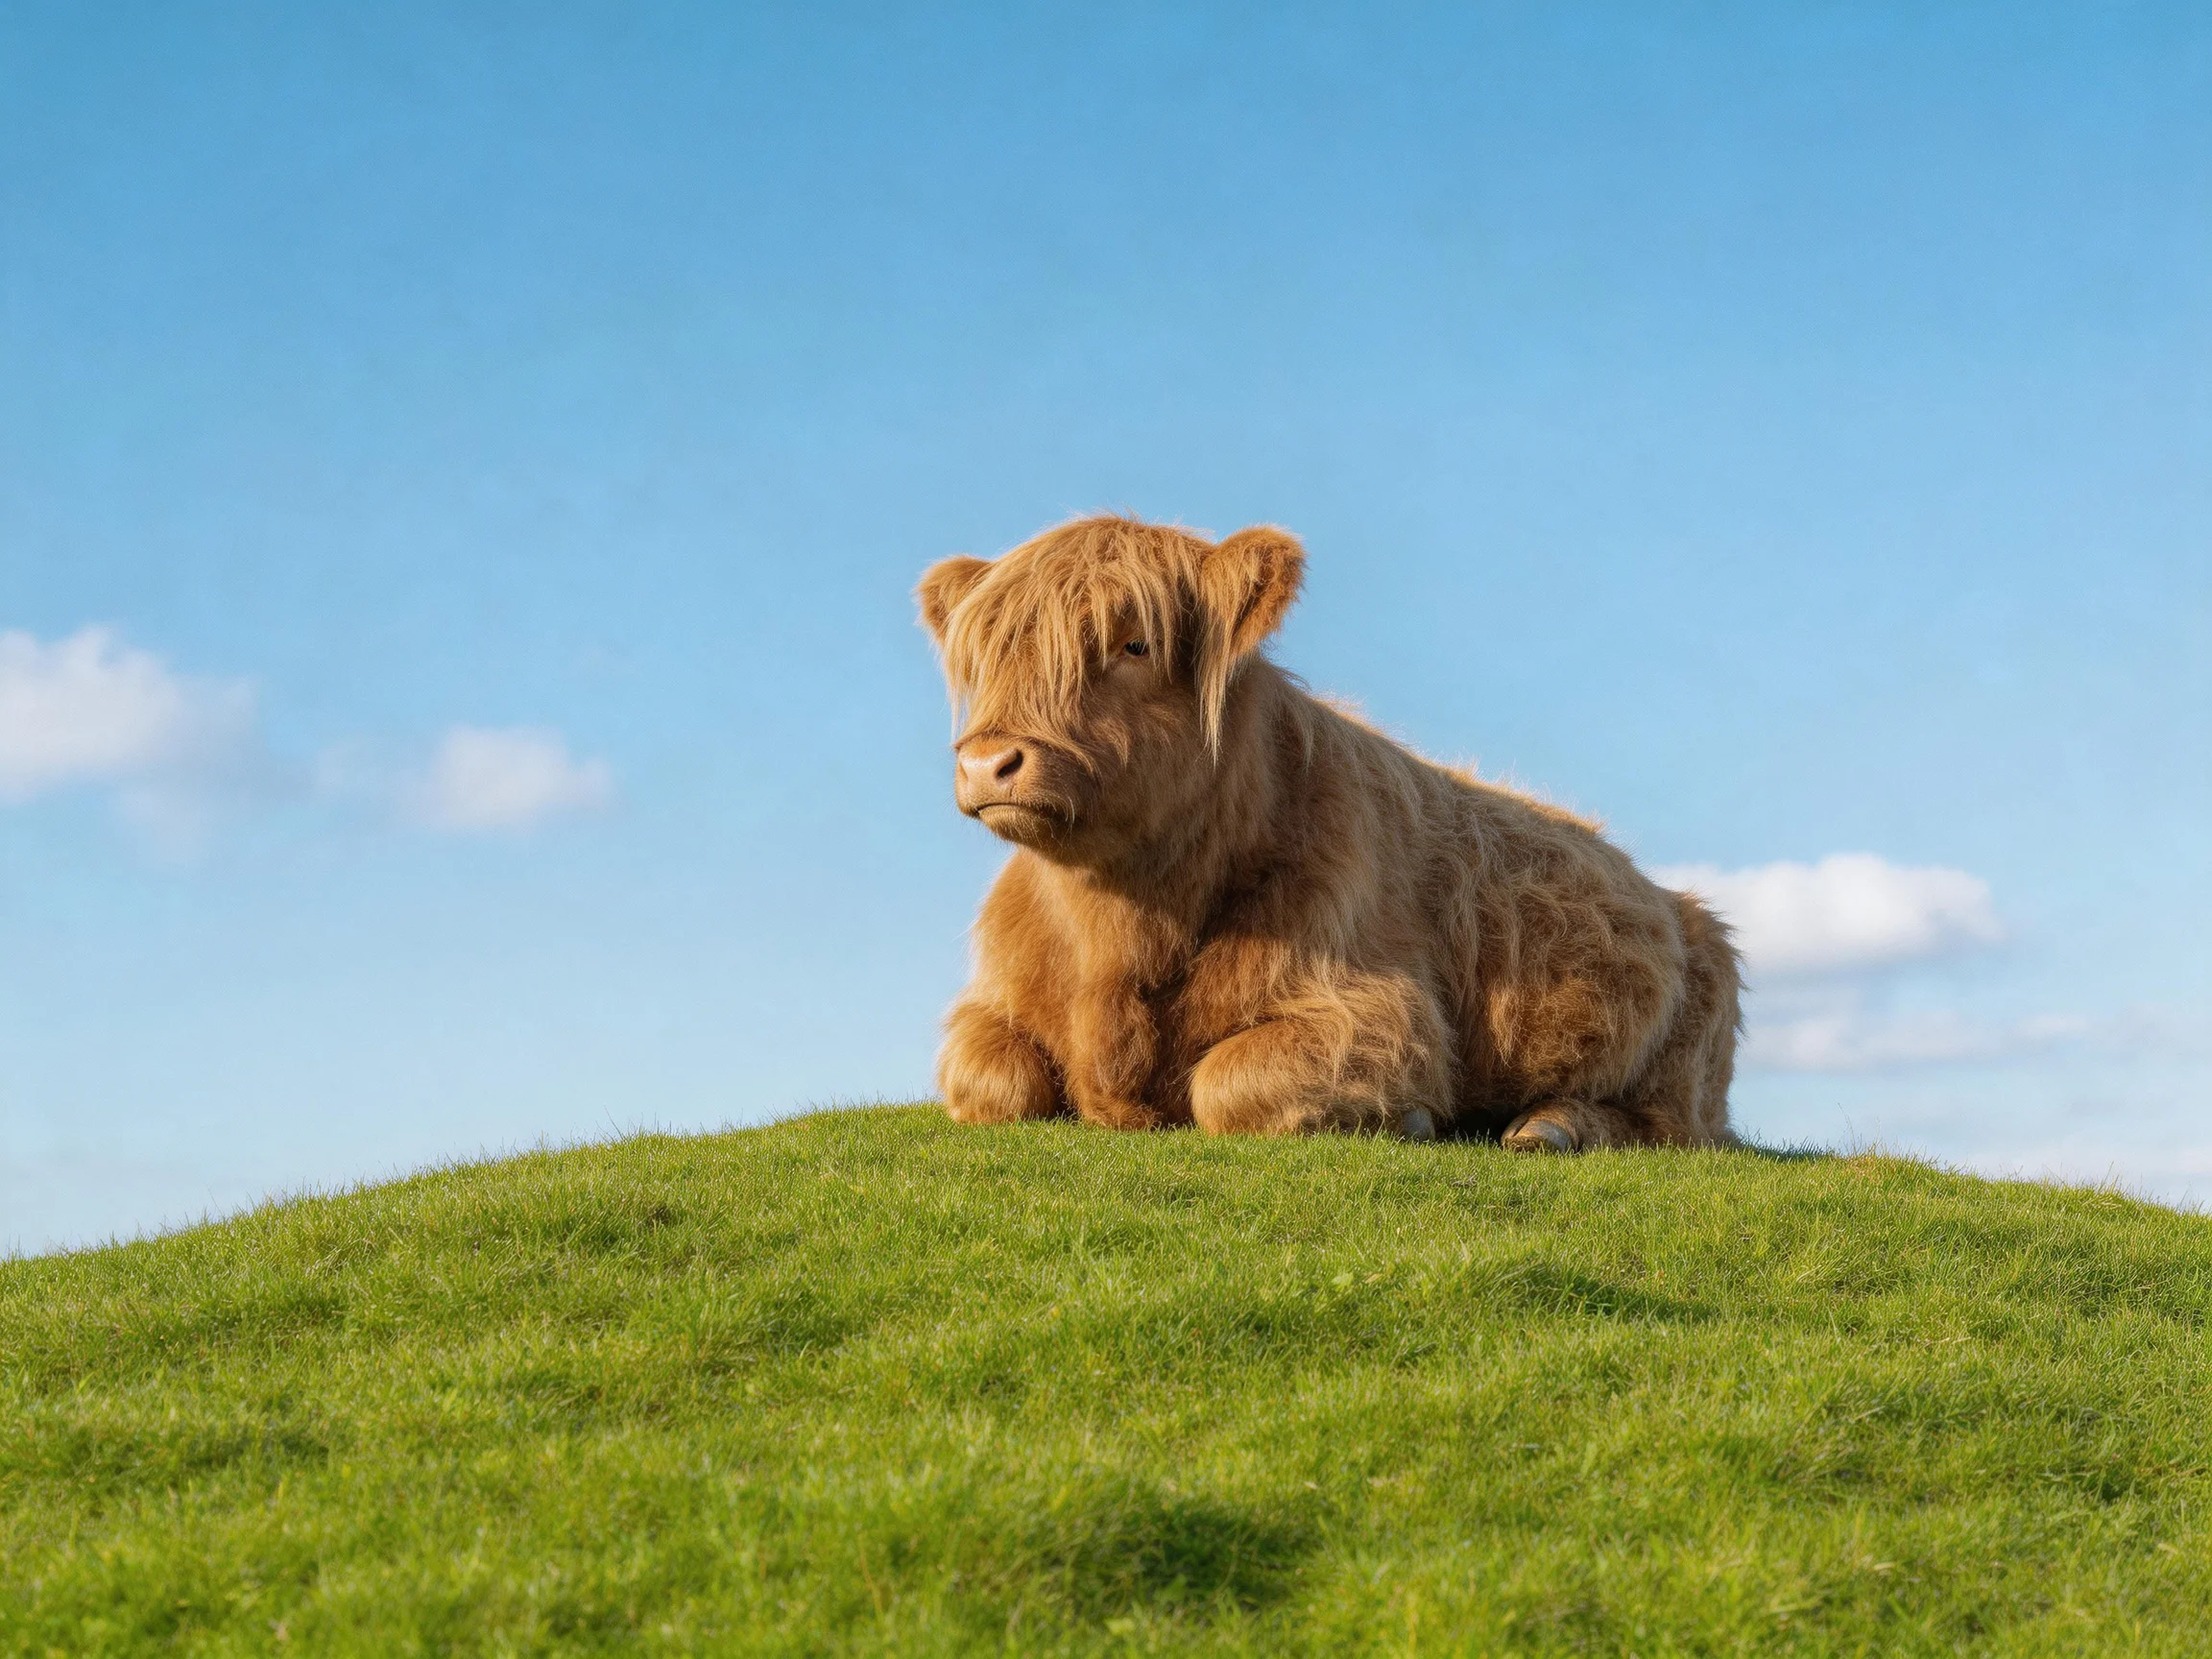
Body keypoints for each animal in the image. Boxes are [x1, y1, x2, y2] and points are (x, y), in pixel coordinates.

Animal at [916, 514, 1740, 1151]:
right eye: (988, 654)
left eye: (1134, 645)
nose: (989, 762)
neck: (1119, 932)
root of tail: (1673, 898)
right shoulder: (991, 1005)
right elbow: (995, 1080)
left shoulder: (1385, 1013)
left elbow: (1225, 1083)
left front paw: (1409, 1119)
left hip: (1691, 1055)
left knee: (1667, 1124)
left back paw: (1551, 1127)